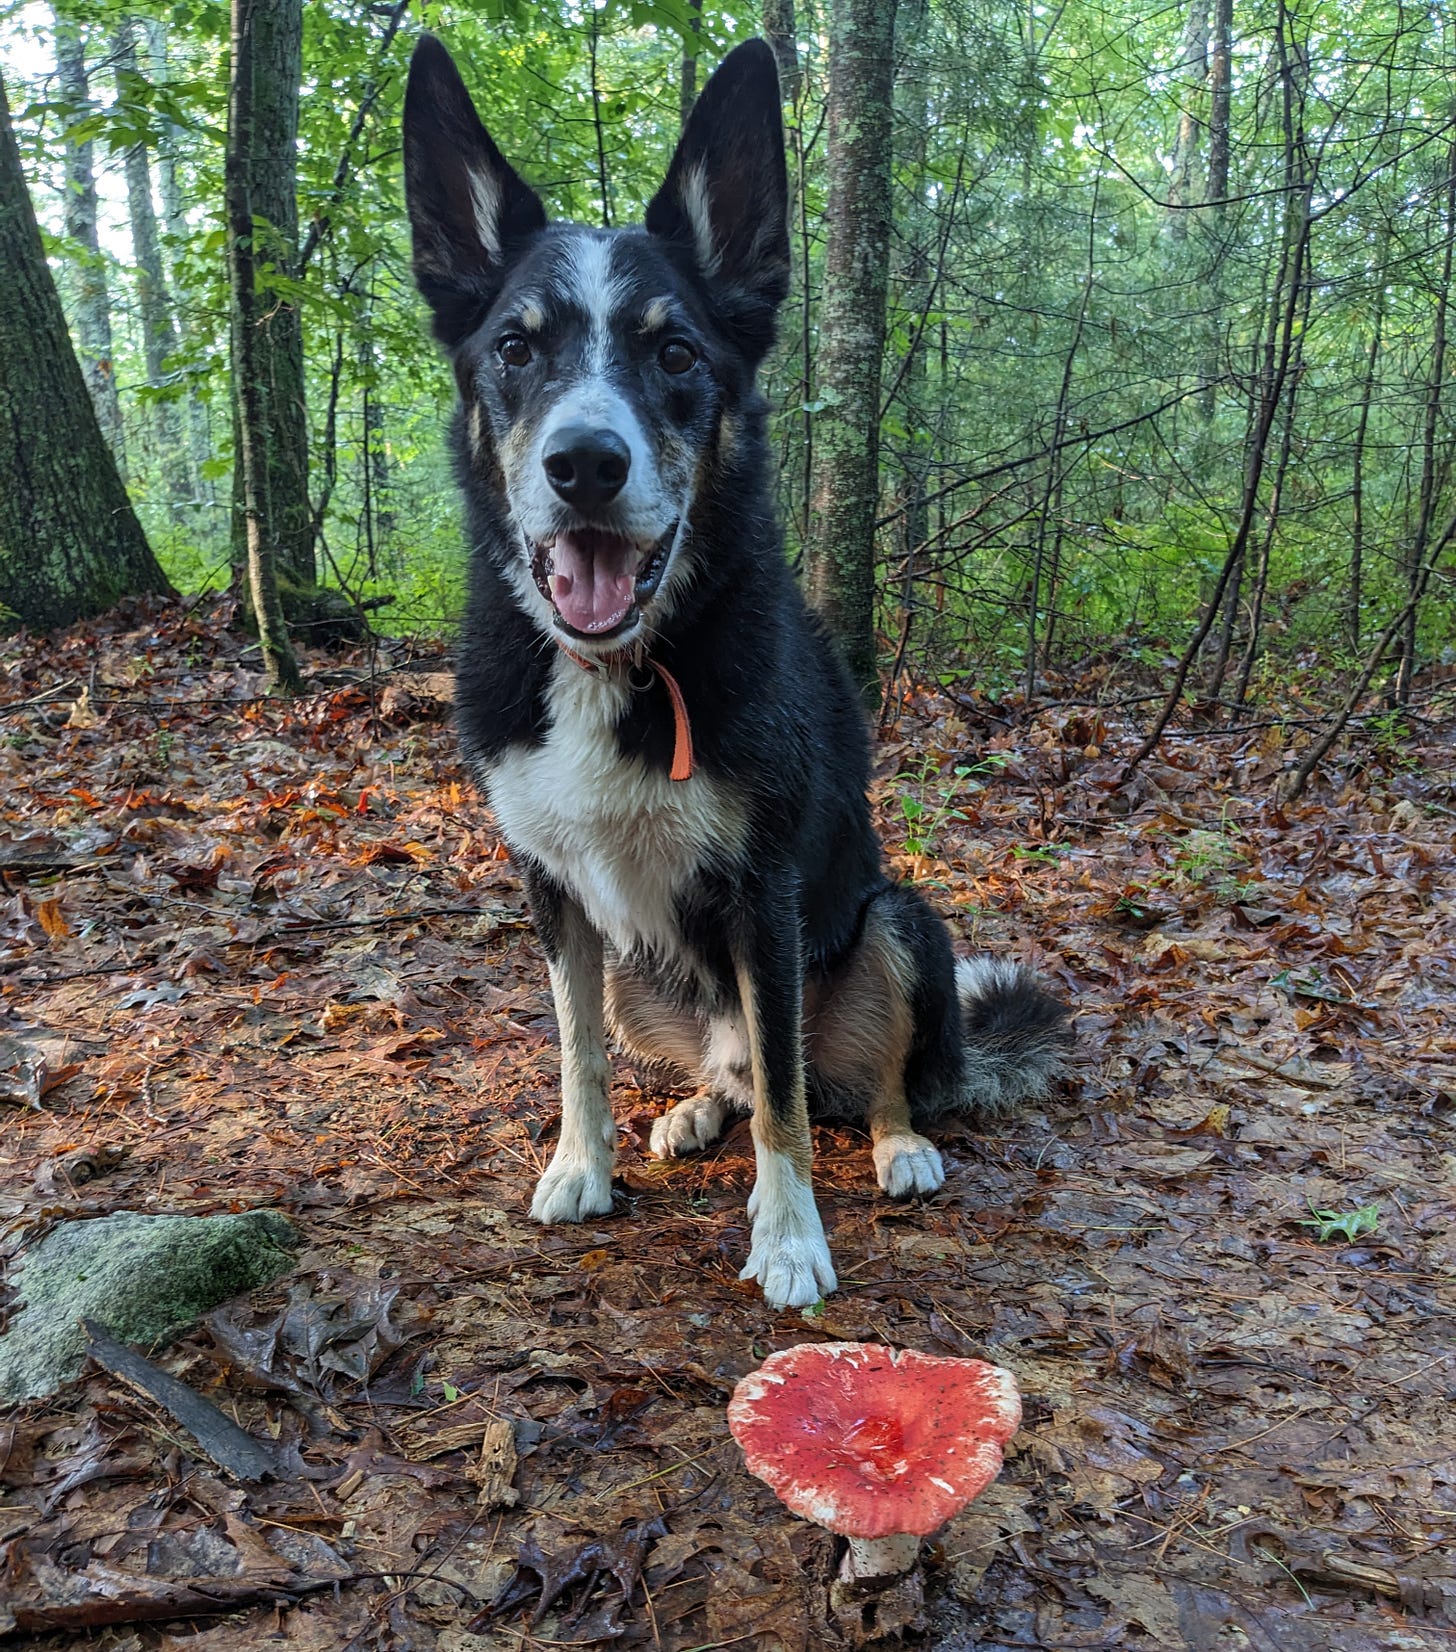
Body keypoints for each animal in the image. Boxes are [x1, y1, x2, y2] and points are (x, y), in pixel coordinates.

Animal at [399, 32, 1070, 1308]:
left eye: (675, 350)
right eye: (515, 347)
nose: (585, 463)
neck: (625, 661)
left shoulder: (765, 891)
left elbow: (791, 1113)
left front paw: (790, 1237)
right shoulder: (554, 893)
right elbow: (578, 1054)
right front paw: (581, 1165)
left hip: (896, 919)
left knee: (852, 1076)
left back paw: (900, 1142)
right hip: (641, 970)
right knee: (735, 1070)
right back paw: (694, 1110)